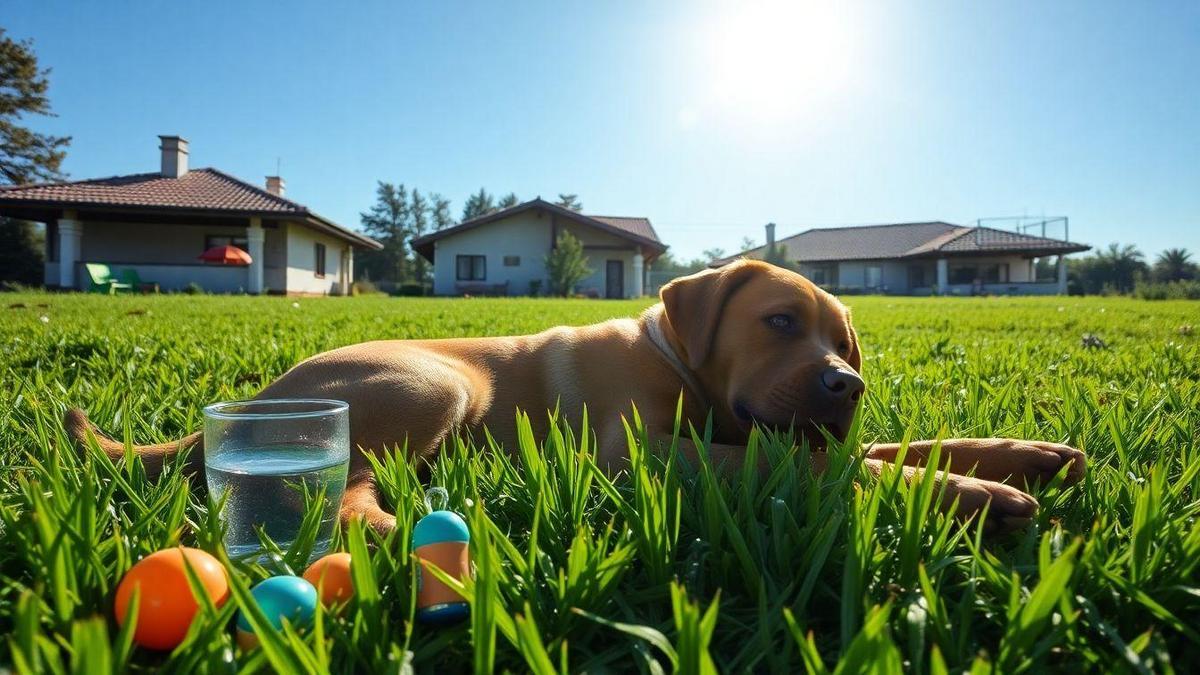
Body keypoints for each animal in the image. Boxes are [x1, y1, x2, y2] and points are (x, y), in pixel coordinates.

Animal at [70, 257, 1094, 530]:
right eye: (776, 322)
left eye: (842, 341)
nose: (848, 383)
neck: (678, 360)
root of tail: (253, 399)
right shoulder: (642, 451)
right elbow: (839, 473)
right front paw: (981, 495)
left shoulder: (786, 430)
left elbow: (892, 448)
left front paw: (1020, 458)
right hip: (433, 380)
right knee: (344, 481)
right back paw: (387, 530)